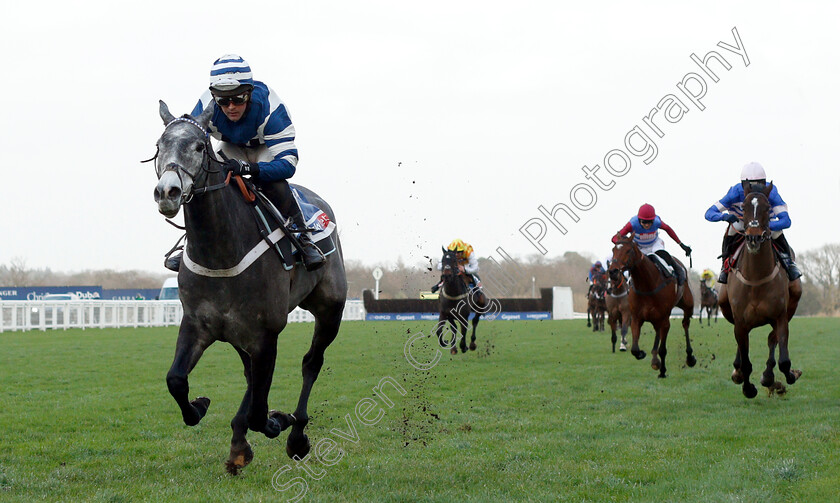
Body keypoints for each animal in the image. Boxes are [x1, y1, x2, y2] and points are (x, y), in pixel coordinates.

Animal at [152, 101, 348, 472]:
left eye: (198, 147)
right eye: (159, 145)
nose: (167, 192)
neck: (220, 252)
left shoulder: (266, 334)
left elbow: (260, 411)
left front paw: (277, 422)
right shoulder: (198, 323)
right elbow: (175, 380)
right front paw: (200, 406)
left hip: (330, 308)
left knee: (311, 363)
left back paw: (295, 435)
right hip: (239, 334)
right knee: (250, 377)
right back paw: (239, 442)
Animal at [608, 237, 700, 378]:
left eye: (628, 250)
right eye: (613, 250)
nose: (613, 271)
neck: (647, 284)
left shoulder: (665, 320)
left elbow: (663, 349)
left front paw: (663, 371)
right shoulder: (636, 318)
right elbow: (635, 349)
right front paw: (643, 354)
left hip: (687, 305)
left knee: (685, 324)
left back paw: (690, 357)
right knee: (658, 331)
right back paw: (655, 360)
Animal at [720, 183, 804, 400]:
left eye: (767, 208)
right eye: (744, 207)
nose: (754, 237)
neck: (756, 278)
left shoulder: (780, 316)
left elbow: (783, 360)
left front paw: (787, 376)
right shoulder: (740, 322)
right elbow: (746, 361)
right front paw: (748, 388)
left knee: (771, 340)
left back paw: (768, 377)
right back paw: (738, 371)